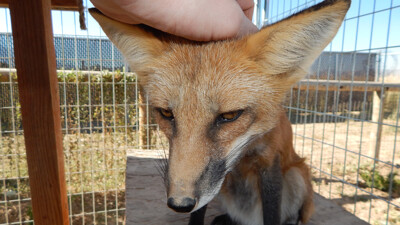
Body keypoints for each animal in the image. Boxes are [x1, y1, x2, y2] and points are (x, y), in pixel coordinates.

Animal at [90, 0, 350, 224]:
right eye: (166, 113)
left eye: (229, 116)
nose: (179, 203)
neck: (244, 153)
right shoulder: (215, 182)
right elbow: (198, 214)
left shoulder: (270, 162)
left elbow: (271, 214)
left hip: (297, 175)